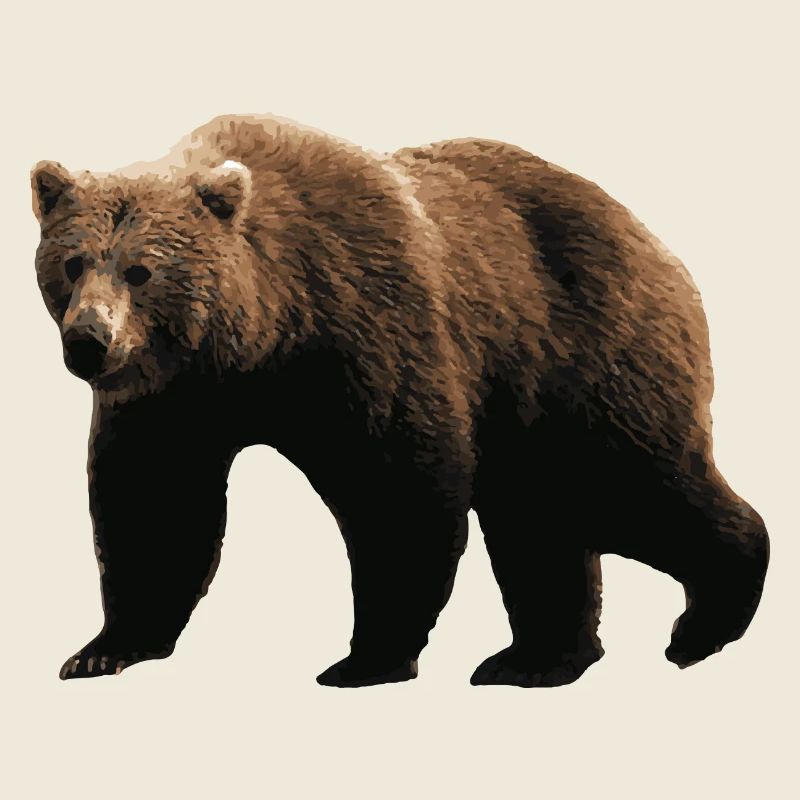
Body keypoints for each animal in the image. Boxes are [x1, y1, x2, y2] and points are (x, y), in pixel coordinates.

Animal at [31, 114, 769, 687]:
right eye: (72, 262)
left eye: (141, 270)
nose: (89, 342)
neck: (260, 337)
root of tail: (654, 240)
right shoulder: (175, 399)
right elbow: (154, 504)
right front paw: (103, 651)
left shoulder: (364, 324)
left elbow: (399, 485)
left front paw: (365, 658)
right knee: (539, 515)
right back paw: (536, 658)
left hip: (584, 351)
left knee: (630, 482)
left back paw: (702, 624)